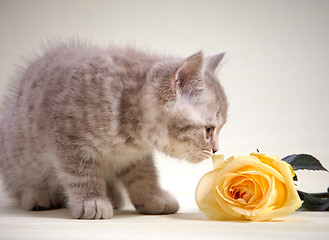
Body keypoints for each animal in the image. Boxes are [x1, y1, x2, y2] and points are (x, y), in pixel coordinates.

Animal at [0, 41, 227, 219]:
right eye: (209, 130)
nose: (216, 150)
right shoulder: (69, 140)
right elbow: (81, 174)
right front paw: (92, 202)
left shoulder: (135, 156)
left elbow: (145, 176)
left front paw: (153, 198)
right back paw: (37, 195)